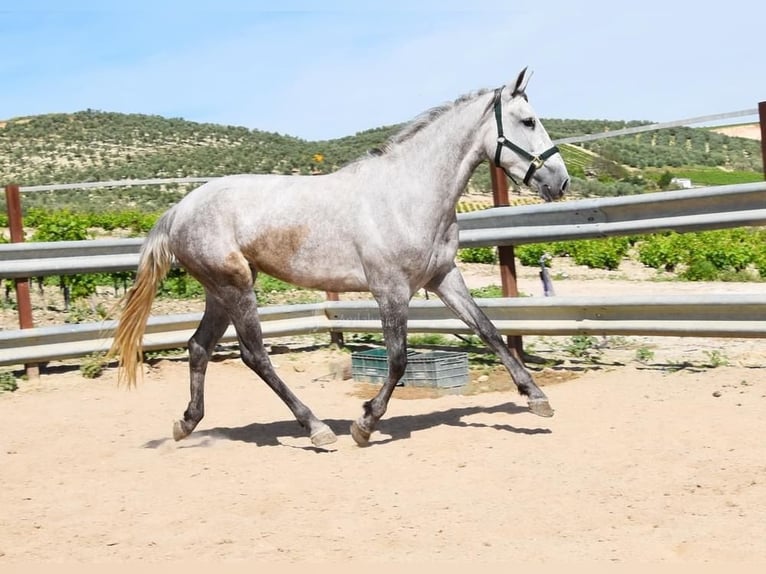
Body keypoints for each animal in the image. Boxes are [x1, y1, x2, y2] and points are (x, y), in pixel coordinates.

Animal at [112, 70, 568, 450]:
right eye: (528, 121)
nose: (560, 181)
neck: (408, 194)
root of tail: (179, 210)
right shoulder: (390, 290)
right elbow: (398, 359)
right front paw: (364, 424)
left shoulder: (443, 277)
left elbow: (488, 330)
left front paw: (537, 399)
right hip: (235, 287)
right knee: (254, 355)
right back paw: (317, 428)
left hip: (221, 291)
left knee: (198, 347)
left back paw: (186, 423)